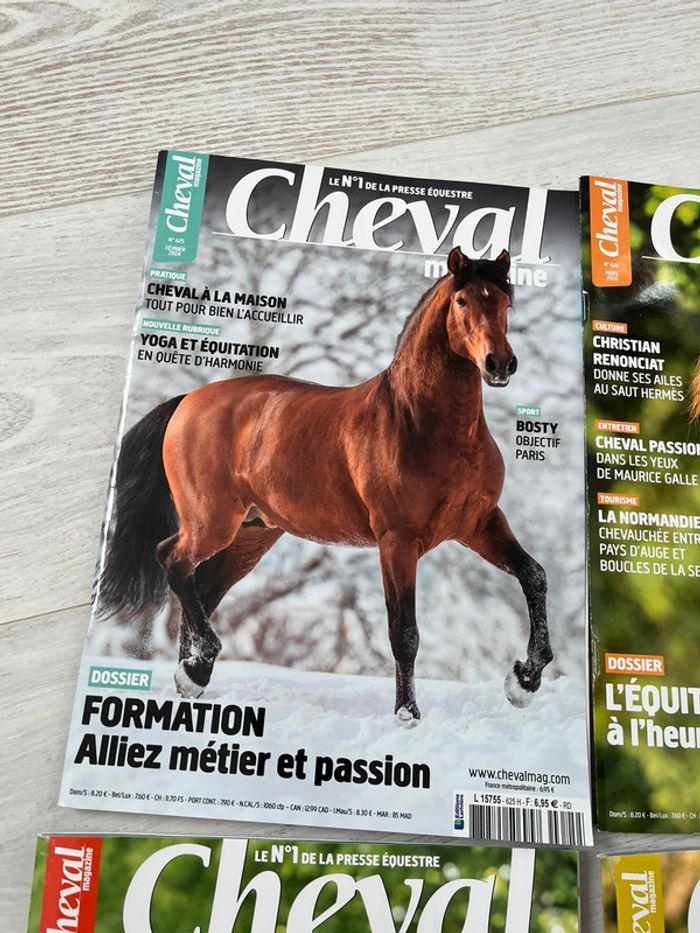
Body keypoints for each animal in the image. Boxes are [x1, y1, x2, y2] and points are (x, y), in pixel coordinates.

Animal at [99, 246, 551, 722]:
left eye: (505, 303)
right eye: (462, 301)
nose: (499, 364)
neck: (423, 426)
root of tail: (188, 401)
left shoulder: (480, 525)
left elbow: (534, 576)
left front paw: (523, 682)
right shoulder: (397, 541)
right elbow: (403, 631)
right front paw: (407, 715)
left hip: (251, 536)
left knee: (201, 587)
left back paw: (192, 676)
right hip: (212, 524)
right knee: (172, 560)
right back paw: (196, 670)